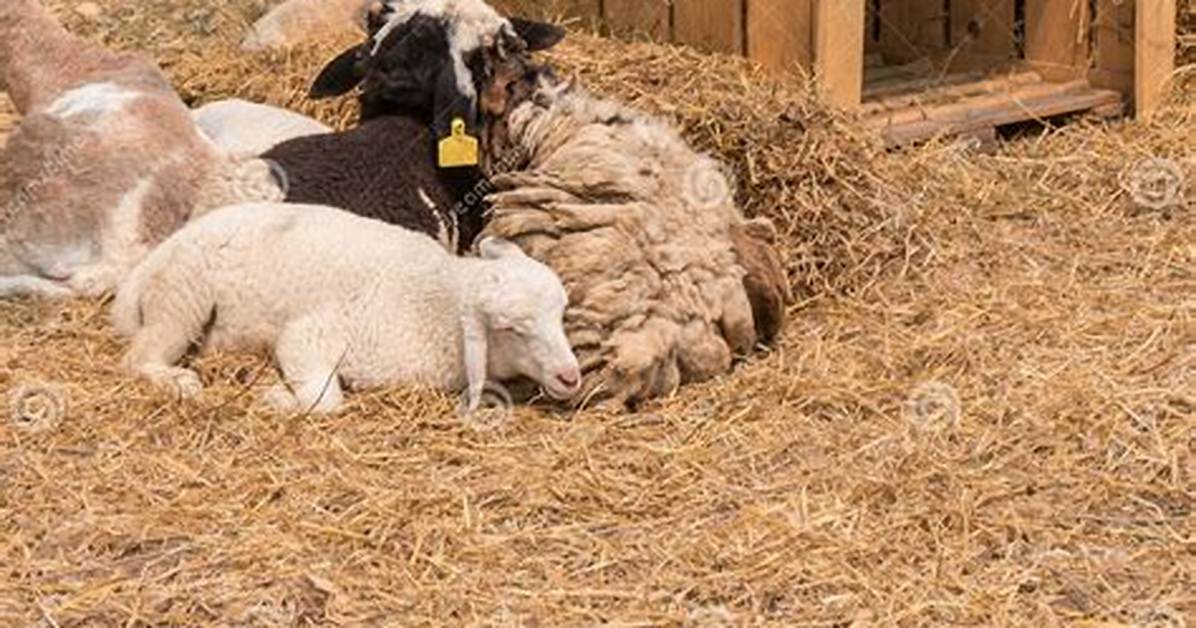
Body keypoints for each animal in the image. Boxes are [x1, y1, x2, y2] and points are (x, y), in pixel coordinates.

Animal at [112, 202, 582, 413]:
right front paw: (274, 397)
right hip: (182, 293)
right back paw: (178, 382)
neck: (437, 301)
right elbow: (326, 400)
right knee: (138, 356)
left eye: (560, 315)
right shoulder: (311, 333)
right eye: (512, 328)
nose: (570, 377)